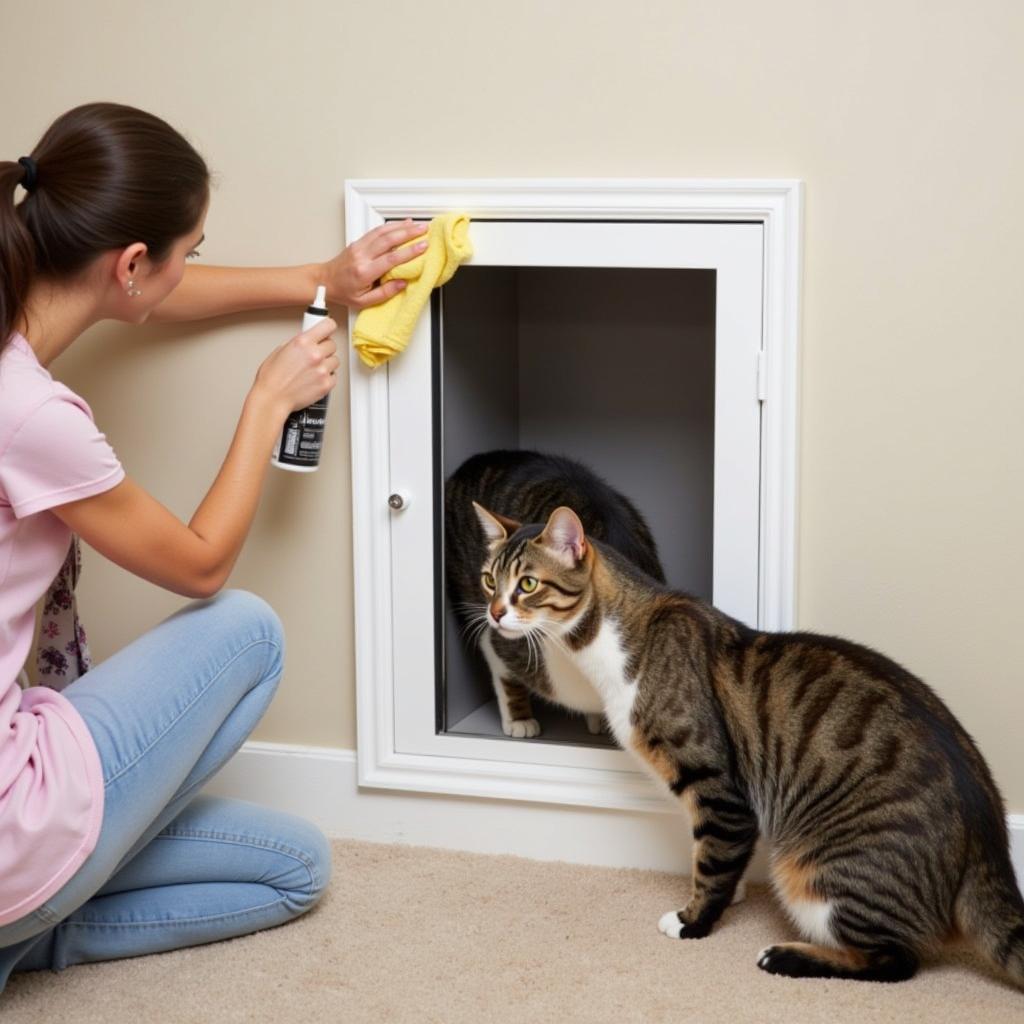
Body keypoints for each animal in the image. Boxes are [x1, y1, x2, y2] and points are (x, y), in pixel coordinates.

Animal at [446, 452, 667, 741]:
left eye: (528, 583)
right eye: (491, 581)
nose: (495, 613)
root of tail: (473, 462)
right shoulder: (505, 642)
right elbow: (506, 669)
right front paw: (520, 718)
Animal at [466, 499, 1024, 987]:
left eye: (528, 584)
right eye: (489, 579)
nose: (493, 613)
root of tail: (990, 846)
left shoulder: (717, 786)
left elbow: (713, 859)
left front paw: (692, 920)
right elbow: (716, 853)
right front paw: (728, 896)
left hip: (814, 871)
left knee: (895, 960)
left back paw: (784, 957)